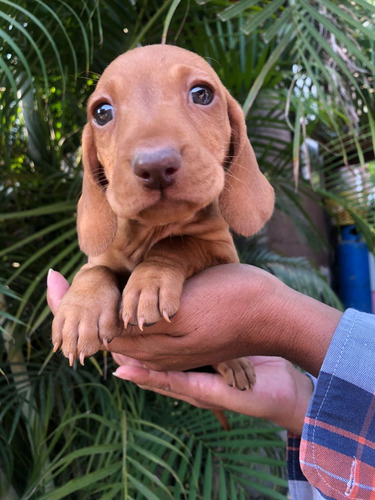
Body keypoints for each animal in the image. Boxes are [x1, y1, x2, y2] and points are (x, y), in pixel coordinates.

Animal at [51, 44, 274, 390]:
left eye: (202, 94)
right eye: (102, 113)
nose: (155, 165)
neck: (151, 229)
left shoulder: (222, 252)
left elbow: (177, 244)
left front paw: (150, 281)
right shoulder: (100, 257)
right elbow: (94, 271)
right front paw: (79, 311)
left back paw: (235, 363)